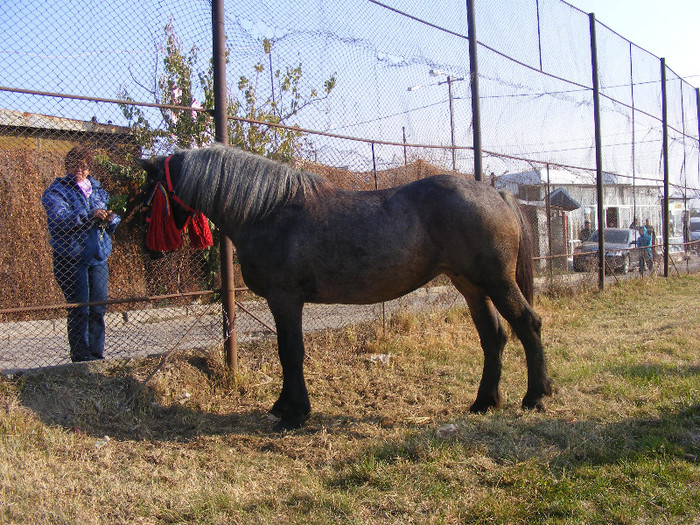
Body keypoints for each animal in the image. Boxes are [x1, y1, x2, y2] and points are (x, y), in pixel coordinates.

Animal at [139, 144, 556, 430]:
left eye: (148, 192)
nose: (149, 251)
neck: (268, 211)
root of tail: (498, 193)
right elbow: (288, 353)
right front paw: (284, 406)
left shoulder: (285, 298)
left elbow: (290, 352)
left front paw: (294, 412)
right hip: (470, 285)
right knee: (494, 336)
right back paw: (485, 401)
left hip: (496, 282)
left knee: (528, 324)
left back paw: (535, 396)